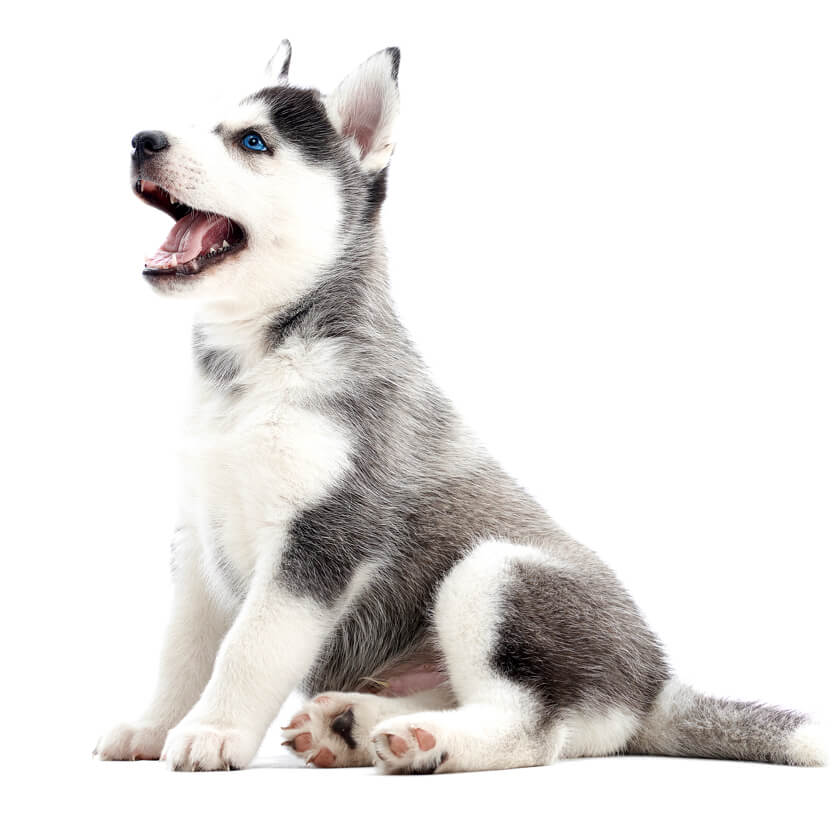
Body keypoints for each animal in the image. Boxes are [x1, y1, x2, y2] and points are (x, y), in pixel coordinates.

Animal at [95, 41, 824, 773]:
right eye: (199, 122)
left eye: (253, 142)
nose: (142, 140)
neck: (252, 368)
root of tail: (655, 690)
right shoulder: (197, 536)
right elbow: (183, 651)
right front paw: (154, 726)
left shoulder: (322, 537)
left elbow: (247, 649)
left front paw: (213, 731)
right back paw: (351, 725)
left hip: (493, 571)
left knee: (534, 730)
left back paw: (427, 740)